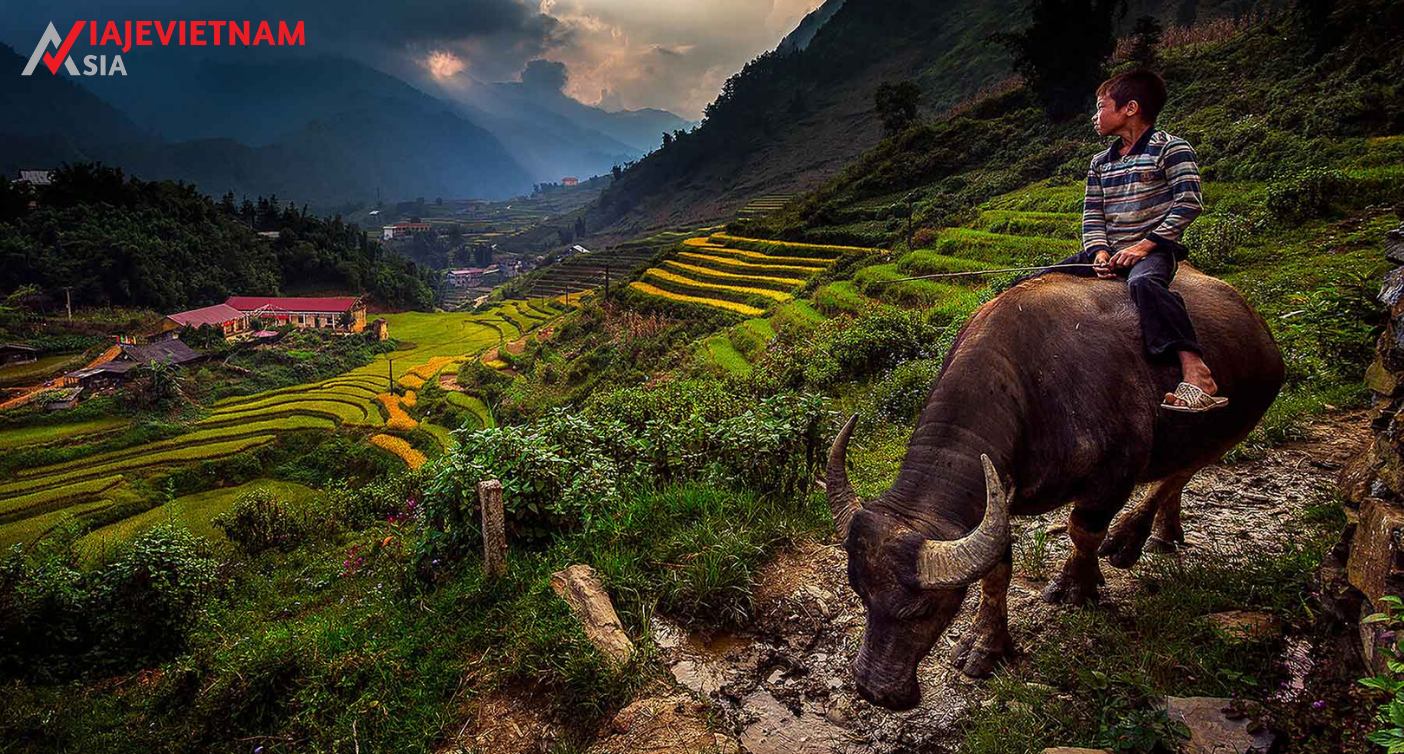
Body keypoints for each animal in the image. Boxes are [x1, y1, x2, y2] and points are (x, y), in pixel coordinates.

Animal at [831, 263, 1286, 704]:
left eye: (924, 609)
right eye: (861, 594)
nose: (875, 690)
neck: (1030, 387)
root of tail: (1257, 325)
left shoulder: (1114, 475)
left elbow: (1083, 532)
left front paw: (1077, 587)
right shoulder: (995, 502)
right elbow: (996, 573)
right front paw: (985, 645)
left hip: (1233, 425)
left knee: (1179, 473)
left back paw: (1132, 537)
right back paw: (1159, 534)